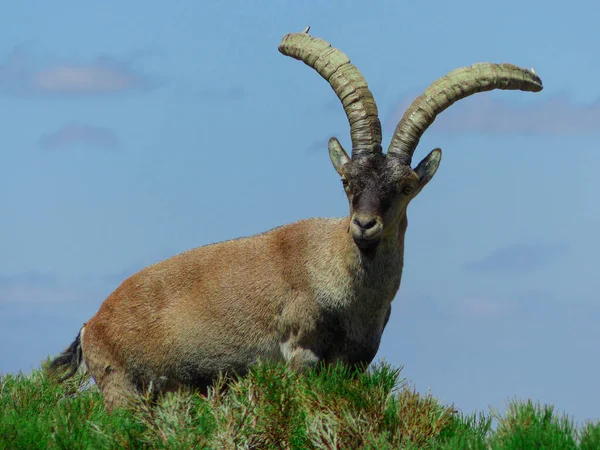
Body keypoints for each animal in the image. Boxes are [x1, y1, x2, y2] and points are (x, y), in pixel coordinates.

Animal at [49, 26, 540, 410]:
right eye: (347, 181)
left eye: (405, 187)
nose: (365, 226)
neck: (340, 279)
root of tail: (92, 324)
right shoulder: (301, 353)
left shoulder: (357, 362)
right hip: (121, 388)